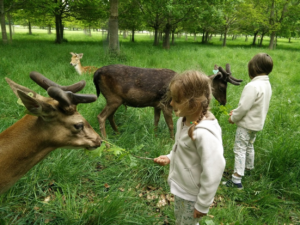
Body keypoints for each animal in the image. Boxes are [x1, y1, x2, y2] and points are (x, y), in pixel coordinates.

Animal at [92, 63, 243, 140]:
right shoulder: (166, 104)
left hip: (115, 99)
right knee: (101, 116)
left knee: (109, 116)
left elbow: (156, 121)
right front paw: (170, 140)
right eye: (222, 87)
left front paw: (154, 136)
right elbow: (170, 124)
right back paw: (106, 141)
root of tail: (95, 74)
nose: (224, 102)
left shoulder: (156, 105)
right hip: (113, 98)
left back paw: (117, 133)